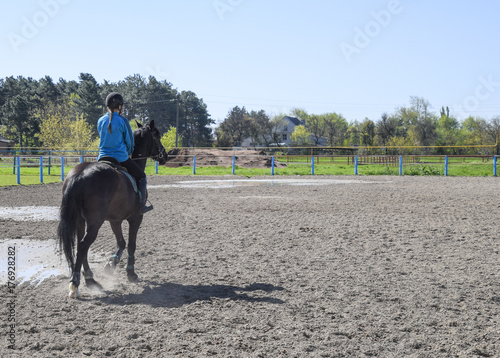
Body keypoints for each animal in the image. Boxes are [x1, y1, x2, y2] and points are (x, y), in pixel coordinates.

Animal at [56, 120, 166, 300]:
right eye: (157, 136)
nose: (165, 155)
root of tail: (80, 175)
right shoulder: (136, 218)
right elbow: (131, 244)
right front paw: (131, 273)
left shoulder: (115, 220)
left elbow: (121, 242)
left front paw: (111, 263)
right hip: (95, 222)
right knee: (83, 245)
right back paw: (75, 284)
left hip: (80, 220)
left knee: (80, 246)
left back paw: (90, 279)